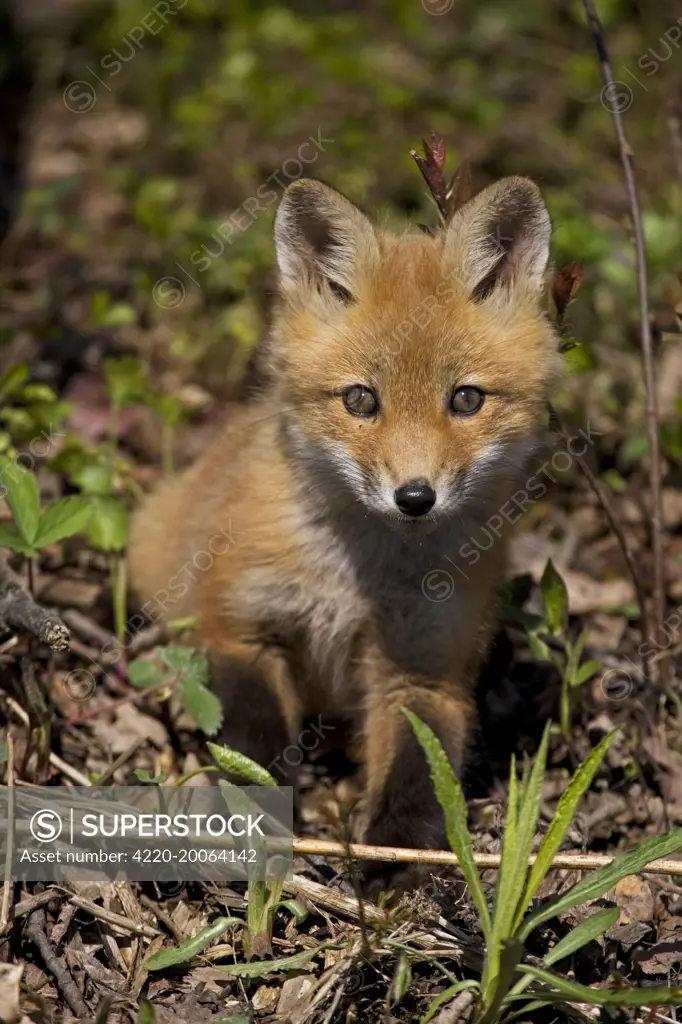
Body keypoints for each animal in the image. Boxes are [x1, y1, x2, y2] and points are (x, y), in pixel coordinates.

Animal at [129, 176, 557, 888]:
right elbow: (255, 741)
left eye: (466, 399)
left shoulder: (423, 671)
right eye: (360, 399)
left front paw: (397, 853)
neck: (357, 579)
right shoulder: (241, 627)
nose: (415, 498)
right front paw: (260, 819)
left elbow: (417, 769)